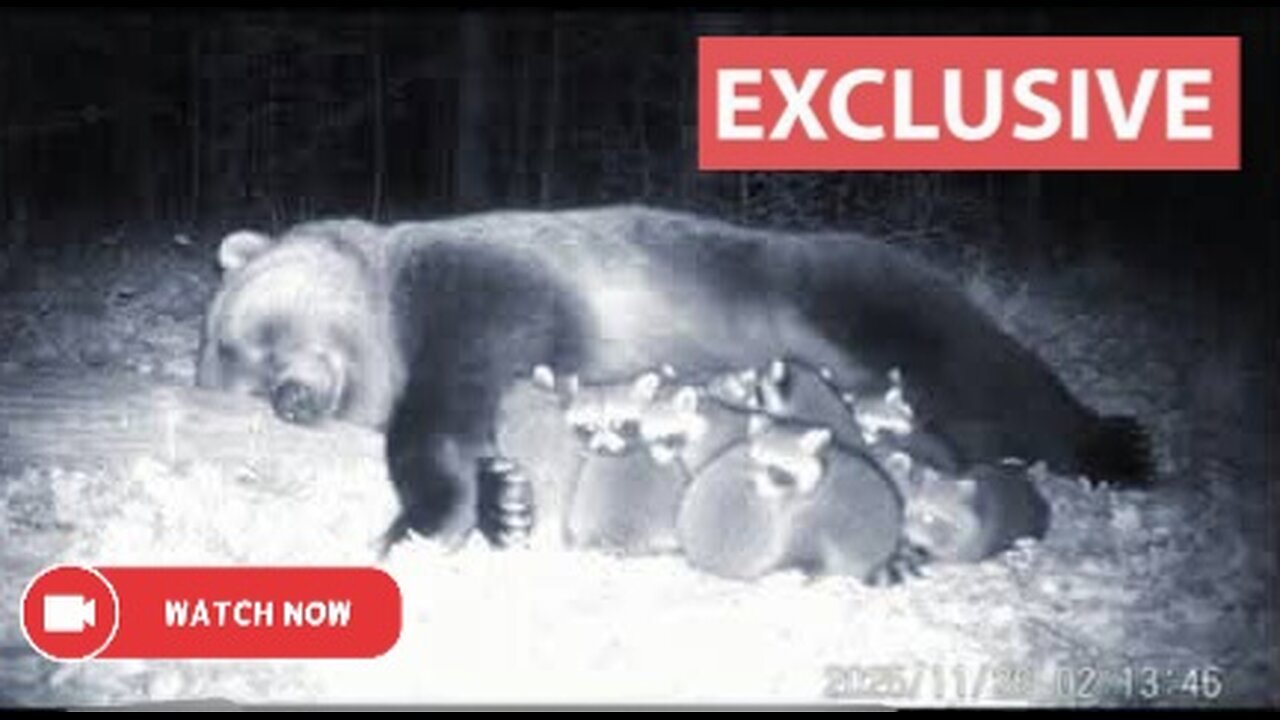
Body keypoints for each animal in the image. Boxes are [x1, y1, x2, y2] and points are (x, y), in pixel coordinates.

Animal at [197, 206, 1151, 548]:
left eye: (249, 336)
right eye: (233, 373)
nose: (288, 399)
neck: (390, 322)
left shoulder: (487, 290)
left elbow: (443, 408)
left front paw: (422, 518)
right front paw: (505, 501)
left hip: (853, 288)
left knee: (993, 373)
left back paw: (1118, 445)